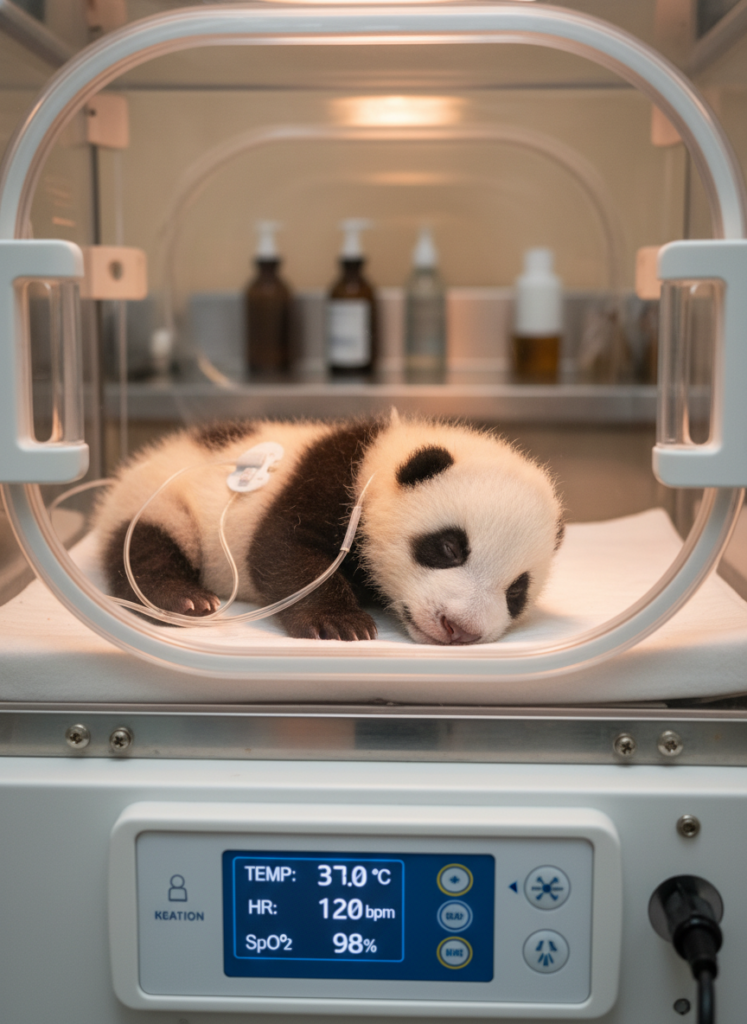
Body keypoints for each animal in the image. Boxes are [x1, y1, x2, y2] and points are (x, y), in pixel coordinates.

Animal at [93, 411, 563, 644]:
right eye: (449, 548)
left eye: (516, 592)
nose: (461, 629)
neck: (383, 451)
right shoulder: (329, 477)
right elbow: (282, 548)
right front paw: (339, 623)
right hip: (161, 500)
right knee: (144, 547)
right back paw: (184, 599)